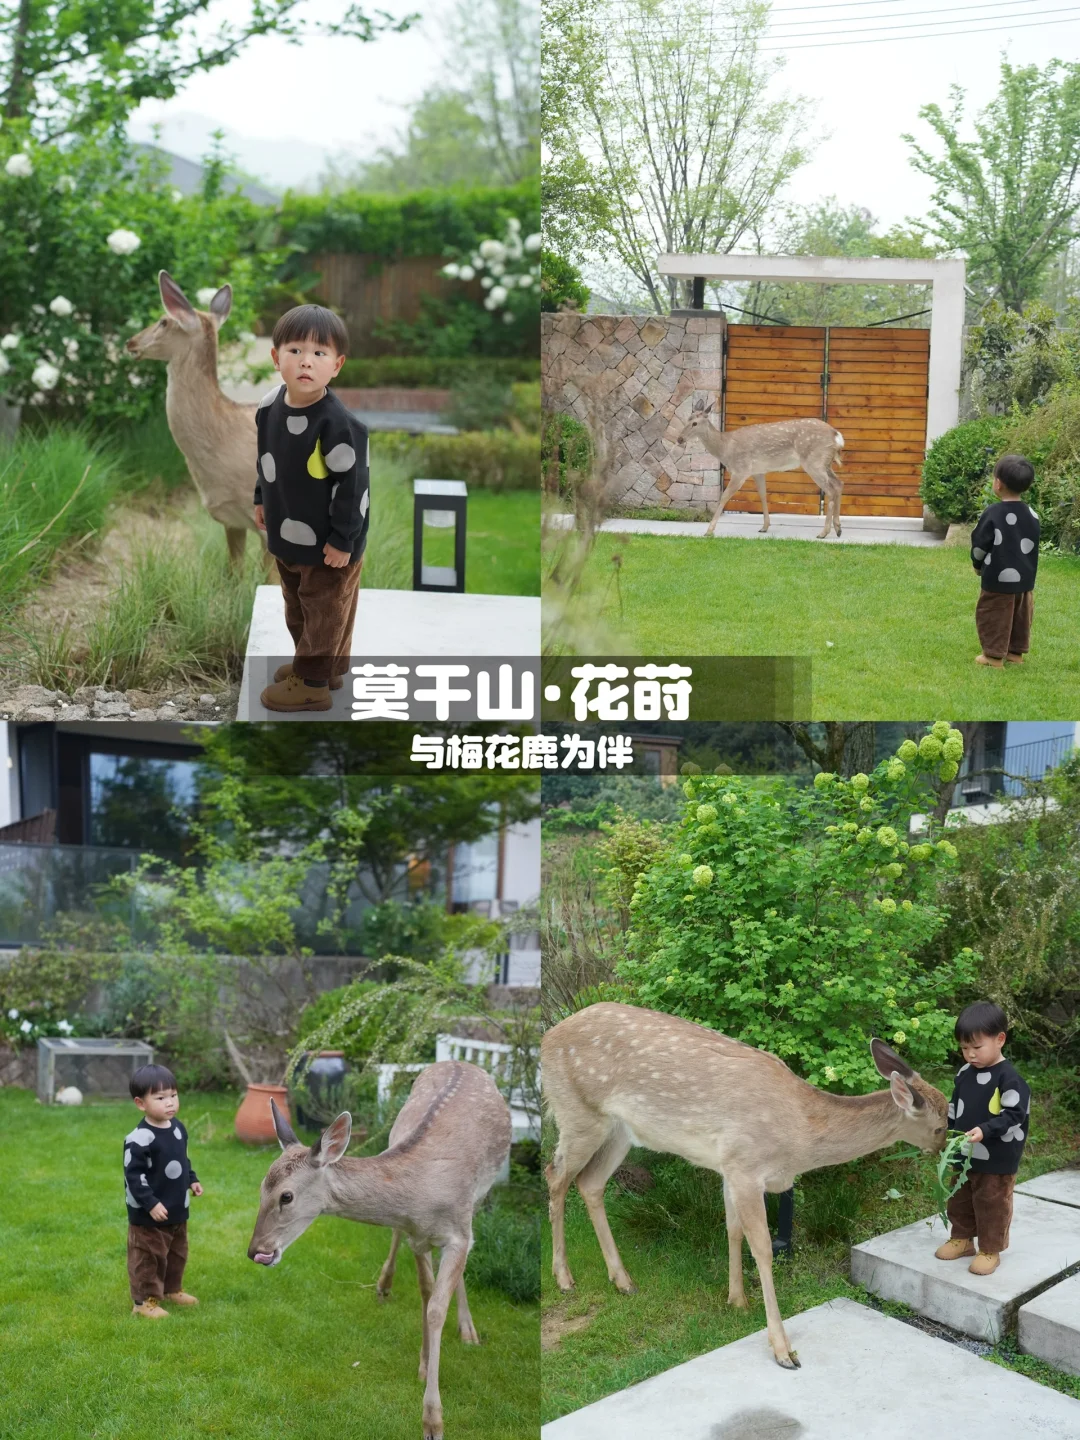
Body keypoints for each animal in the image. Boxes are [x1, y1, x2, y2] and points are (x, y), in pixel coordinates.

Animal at [247, 1060, 512, 1440]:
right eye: (260, 1189)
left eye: (286, 1196)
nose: (256, 1250)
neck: (420, 1196)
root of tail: (461, 1061)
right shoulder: (418, 1235)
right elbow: (425, 1291)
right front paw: (423, 1363)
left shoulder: (458, 1232)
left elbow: (437, 1308)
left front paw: (433, 1421)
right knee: (399, 1240)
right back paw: (384, 1284)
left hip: (479, 1197)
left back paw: (468, 1330)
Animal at [543, 1002, 948, 1370]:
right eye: (941, 1124)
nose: (943, 1150)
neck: (800, 1138)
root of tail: (547, 1039)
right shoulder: (745, 1165)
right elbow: (763, 1248)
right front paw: (783, 1350)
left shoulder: (730, 1167)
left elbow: (733, 1229)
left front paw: (736, 1300)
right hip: (577, 1113)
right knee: (555, 1176)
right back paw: (563, 1278)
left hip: (620, 1129)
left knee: (589, 1183)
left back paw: (623, 1280)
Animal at [675, 400, 845, 540]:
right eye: (687, 419)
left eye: (695, 423)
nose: (679, 439)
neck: (725, 449)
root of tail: (837, 436)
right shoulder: (758, 471)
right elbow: (763, 495)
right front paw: (764, 527)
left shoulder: (741, 470)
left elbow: (724, 496)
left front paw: (709, 530)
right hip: (825, 463)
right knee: (838, 484)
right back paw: (838, 529)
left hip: (814, 461)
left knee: (830, 490)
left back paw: (823, 533)